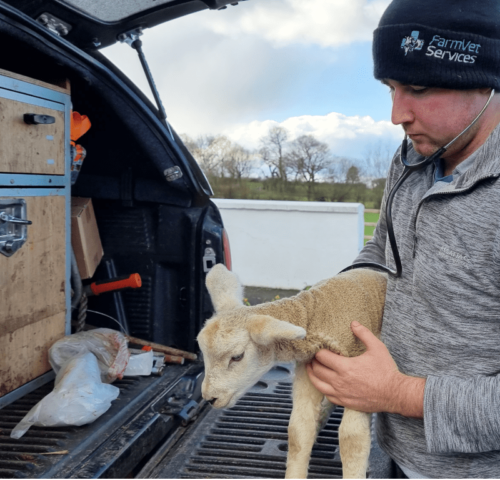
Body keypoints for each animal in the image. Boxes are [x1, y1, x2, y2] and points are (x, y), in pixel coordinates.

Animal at [197, 264, 388, 478]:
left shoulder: (361, 373)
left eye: (237, 356)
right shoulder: (309, 366)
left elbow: (352, 438)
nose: (209, 398)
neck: (319, 313)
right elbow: (299, 431)